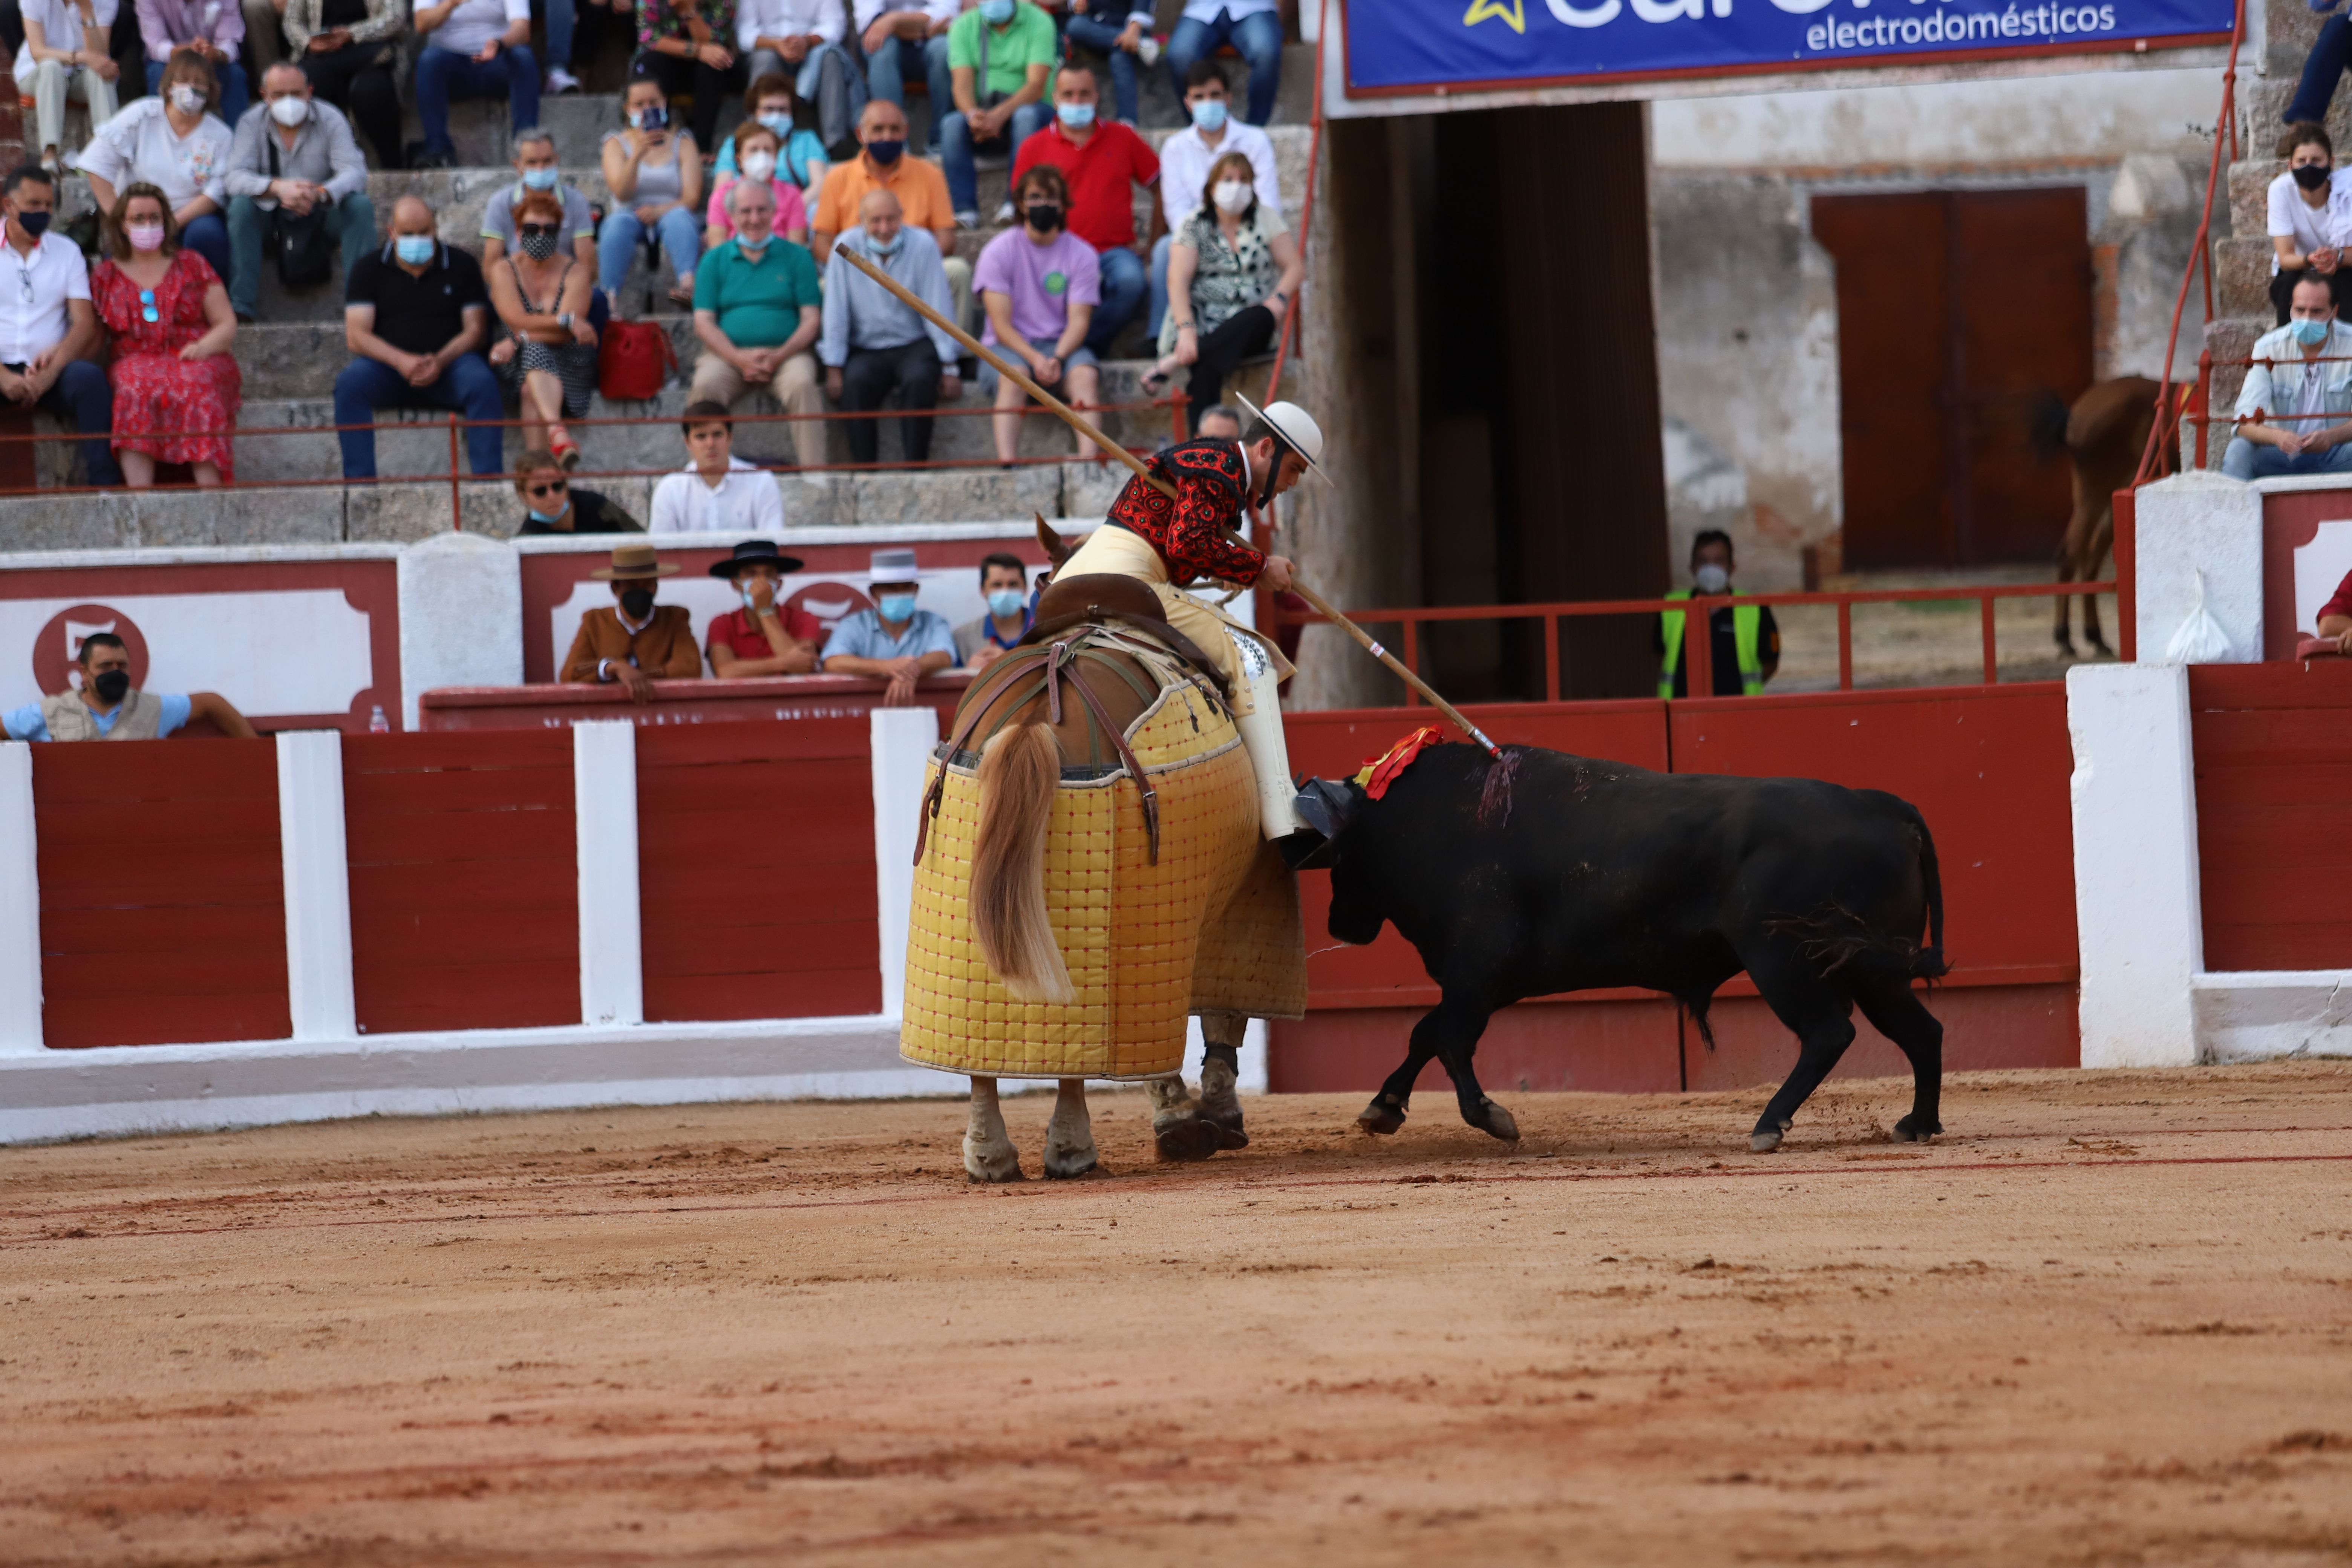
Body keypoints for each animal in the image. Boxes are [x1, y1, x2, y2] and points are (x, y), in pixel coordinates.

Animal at [1317, 747, 1957, 1152]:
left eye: (1340, 855)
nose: (1338, 923)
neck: (1431, 818)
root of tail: (1882, 807)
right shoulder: (1487, 982)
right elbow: (1427, 1032)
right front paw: (1383, 1107)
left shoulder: (1477, 969)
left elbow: (1450, 1039)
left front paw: (1494, 1118)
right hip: (1872, 971)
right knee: (1922, 1031)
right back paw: (1919, 1125)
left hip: (1783, 960)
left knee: (1829, 1033)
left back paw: (1769, 1126)